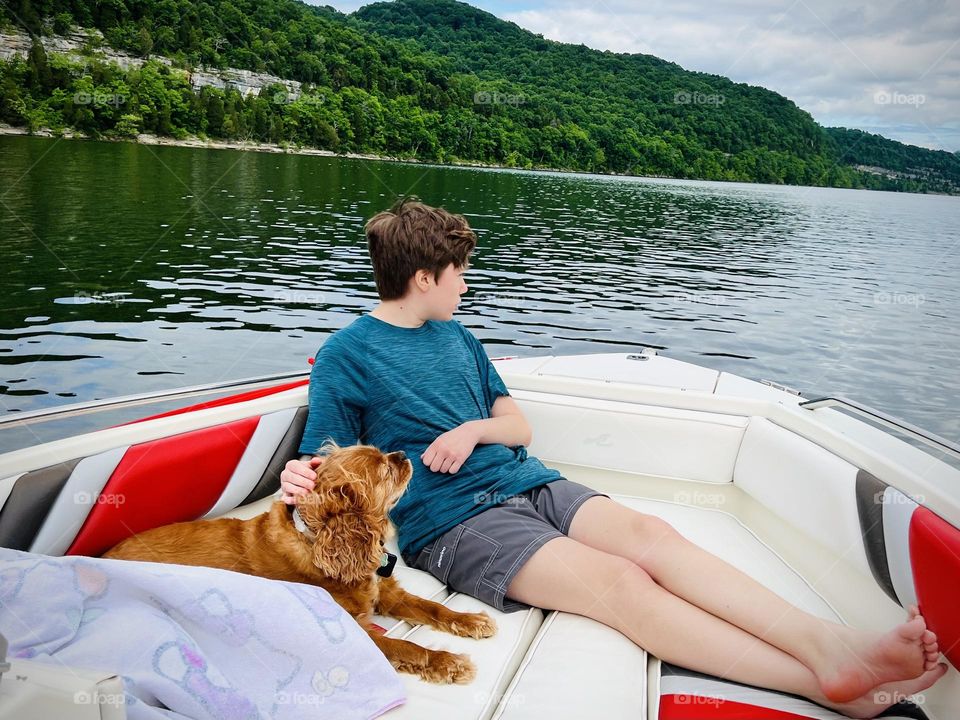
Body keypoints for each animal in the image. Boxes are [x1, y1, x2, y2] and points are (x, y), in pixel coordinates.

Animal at [103, 442, 496, 684]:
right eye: (382, 469)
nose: (401, 453)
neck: (319, 540)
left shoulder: (386, 593)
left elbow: (431, 607)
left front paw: (470, 620)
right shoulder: (358, 633)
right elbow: (408, 647)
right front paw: (447, 662)